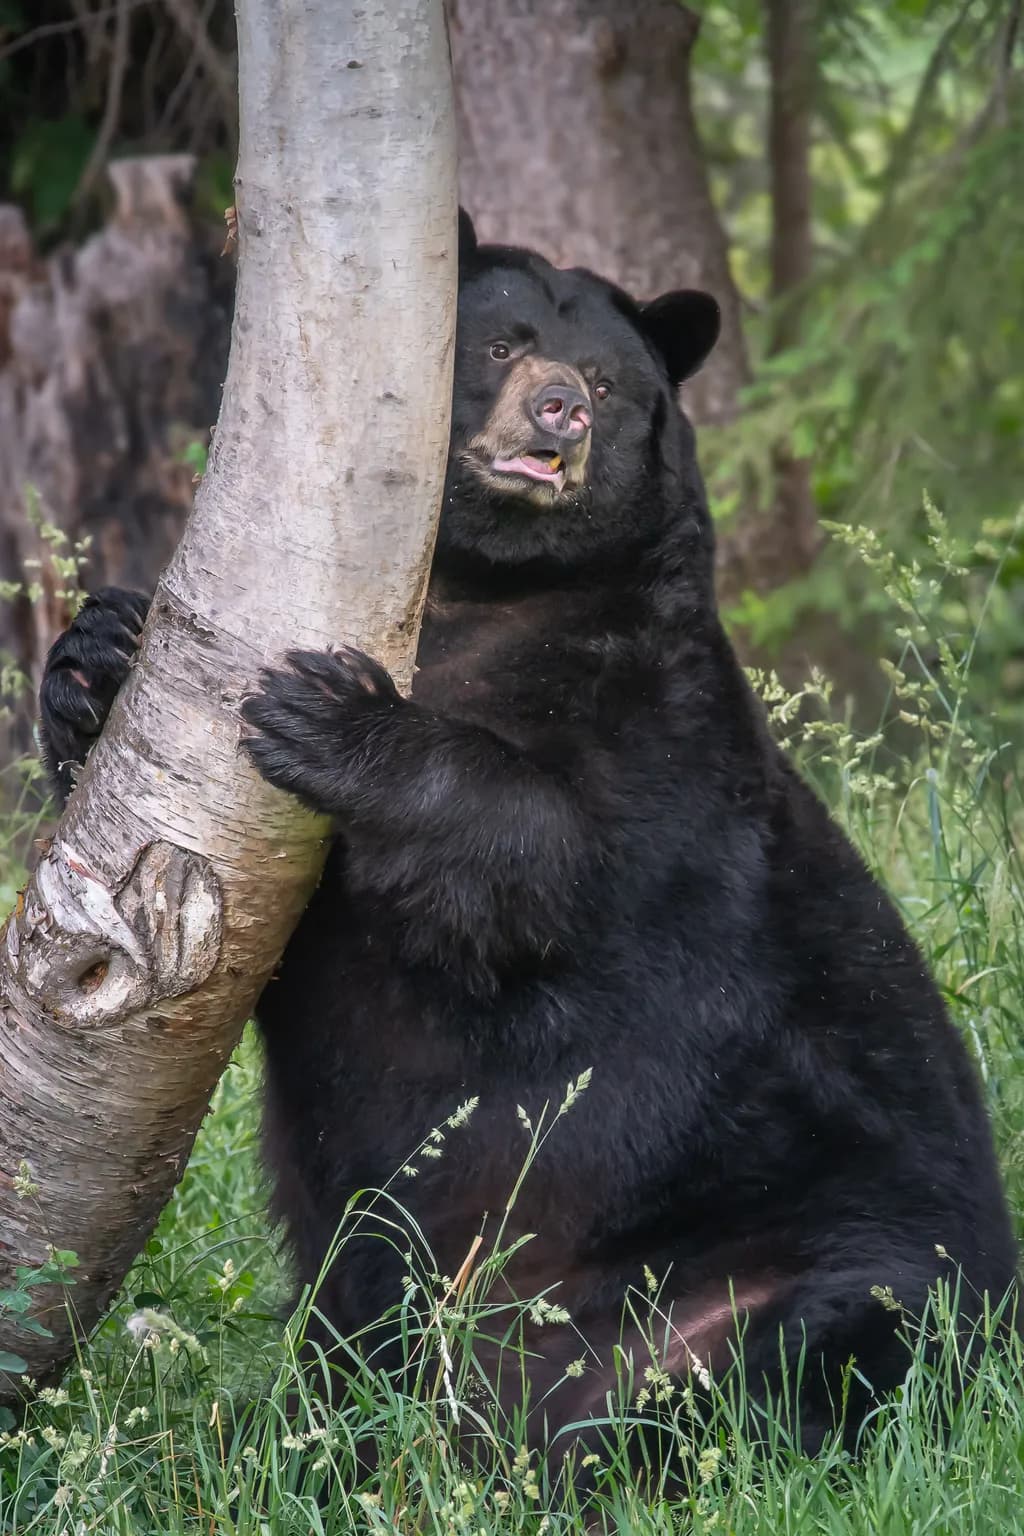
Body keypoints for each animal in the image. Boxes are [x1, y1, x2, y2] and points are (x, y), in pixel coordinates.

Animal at [39, 210, 1016, 1467]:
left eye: (605, 378)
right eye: (499, 344)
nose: (562, 412)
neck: (477, 595)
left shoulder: (659, 719)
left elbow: (543, 857)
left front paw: (330, 714)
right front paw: (96, 658)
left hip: (799, 1274)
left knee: (789, 1367)